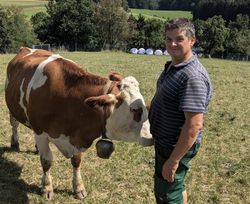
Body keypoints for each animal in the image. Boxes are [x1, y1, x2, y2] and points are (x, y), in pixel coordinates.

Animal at [4, 47, 152, 200]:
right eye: (135, 109)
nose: (151, 137)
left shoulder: (77, 136)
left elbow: (76, 161)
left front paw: (78, 188)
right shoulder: (41, 132)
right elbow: (46, 161)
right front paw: (46, 188)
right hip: (12, 108)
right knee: (14, 125)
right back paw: (15, 143)